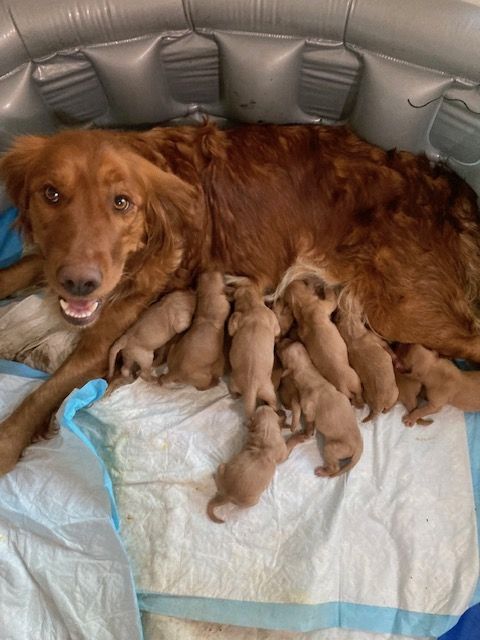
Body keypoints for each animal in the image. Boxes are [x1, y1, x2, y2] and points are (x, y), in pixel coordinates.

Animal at [229, 284, 282, 420]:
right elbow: (277, 330)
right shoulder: (273, 320)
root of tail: (250, 388)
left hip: (234, 383)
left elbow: (233, 322)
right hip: (269, 391)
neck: (252, 306)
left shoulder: (237, 321)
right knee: (273, 403)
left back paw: (235, 396)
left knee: (234, 392)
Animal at [276, 338, 362, 478]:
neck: (307, 371)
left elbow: (308, 420)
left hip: (332, 448)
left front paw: (306, 432)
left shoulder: (308, 410)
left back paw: (322, 471)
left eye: (281, 350)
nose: (277, 342)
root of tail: (360, 448)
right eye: (288, 341)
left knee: (335, 468)